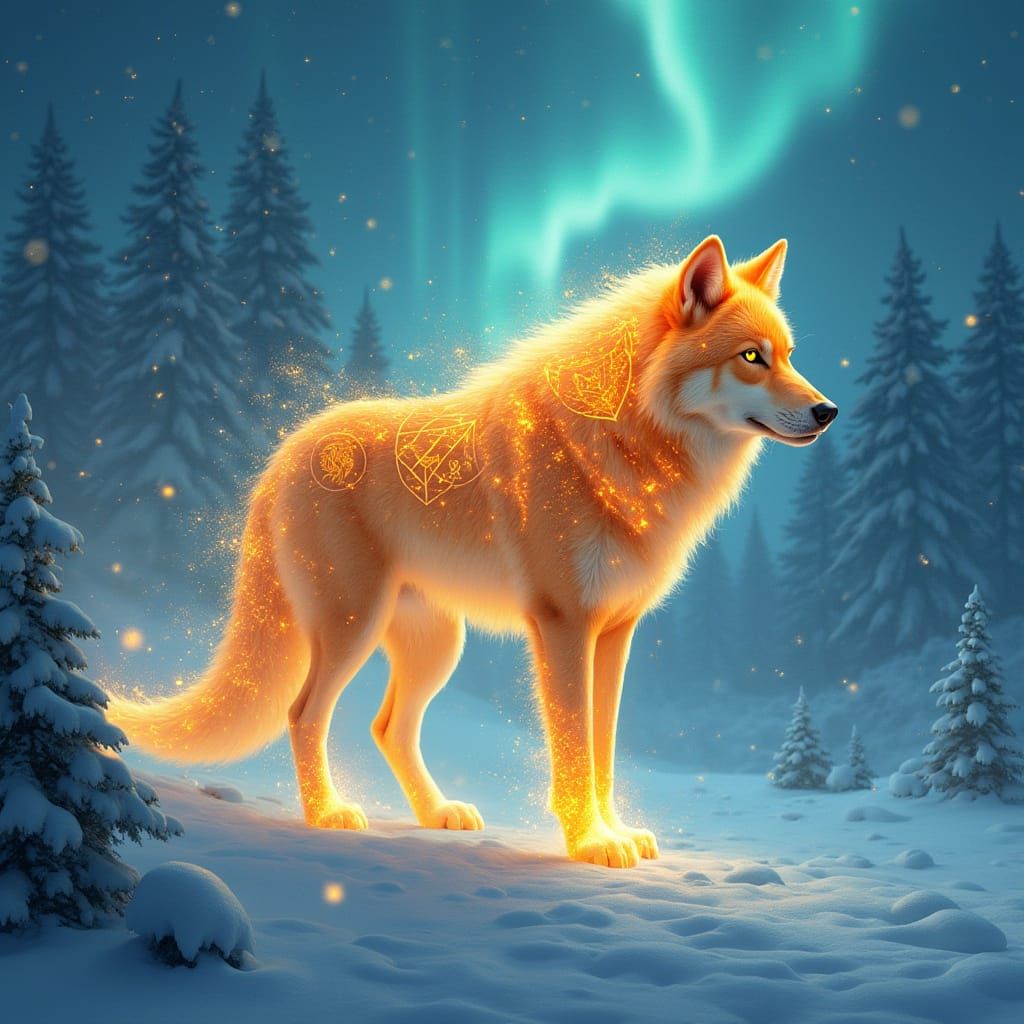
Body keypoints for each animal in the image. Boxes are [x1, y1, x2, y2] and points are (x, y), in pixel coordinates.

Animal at [109, 235, 837, 867]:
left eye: (789, 353)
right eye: (751, 358)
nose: (827, 411)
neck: (629, 447)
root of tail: (281, 453)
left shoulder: (616, 634)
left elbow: (602, 751)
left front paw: (614, 832)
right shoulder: (564, 627)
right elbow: (574, 750)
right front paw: (590, 845)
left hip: (437, 645)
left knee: (388, 727)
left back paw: (437, 815)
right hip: (351, 629)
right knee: (304, 713)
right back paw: (327, 816)